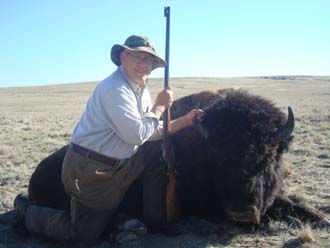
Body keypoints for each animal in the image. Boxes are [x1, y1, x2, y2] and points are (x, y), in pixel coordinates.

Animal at [27, 88, 328, 227]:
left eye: (268, 157)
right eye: (217, 159)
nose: (241, 212)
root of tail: (35, 175)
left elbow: (292, 204)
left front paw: (320, 217)